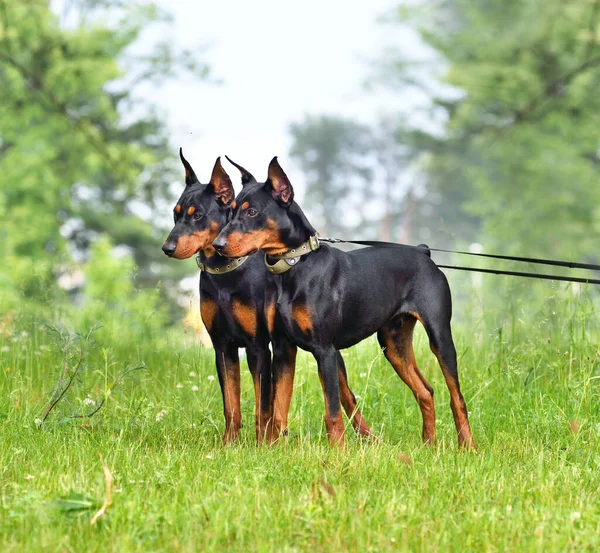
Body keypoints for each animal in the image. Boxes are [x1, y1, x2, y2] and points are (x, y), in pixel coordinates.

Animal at [162, 151, 372, 444]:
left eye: (198, 215)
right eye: (175, 214)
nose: (167, 248)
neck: (226, 274)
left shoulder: (258, 345)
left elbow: (263, 406)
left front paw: (261, 446)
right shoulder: (222, 346)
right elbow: (232, 405)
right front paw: (229, 444)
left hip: (327, 352)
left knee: (347, 395)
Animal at [213, 156, 476, 448]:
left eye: (252, 212)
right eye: (230, 211)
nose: (217, 244)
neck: (295, 265)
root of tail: (423, 253)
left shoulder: (325, 350)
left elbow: (332, 412)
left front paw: (338, 451)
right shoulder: (283, 348)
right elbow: (279, 409)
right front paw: (272, 450)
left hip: (439, 335)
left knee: (456, 397)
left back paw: (468, 446)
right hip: (393, 343)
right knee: (425, 390)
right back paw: (428, 444)